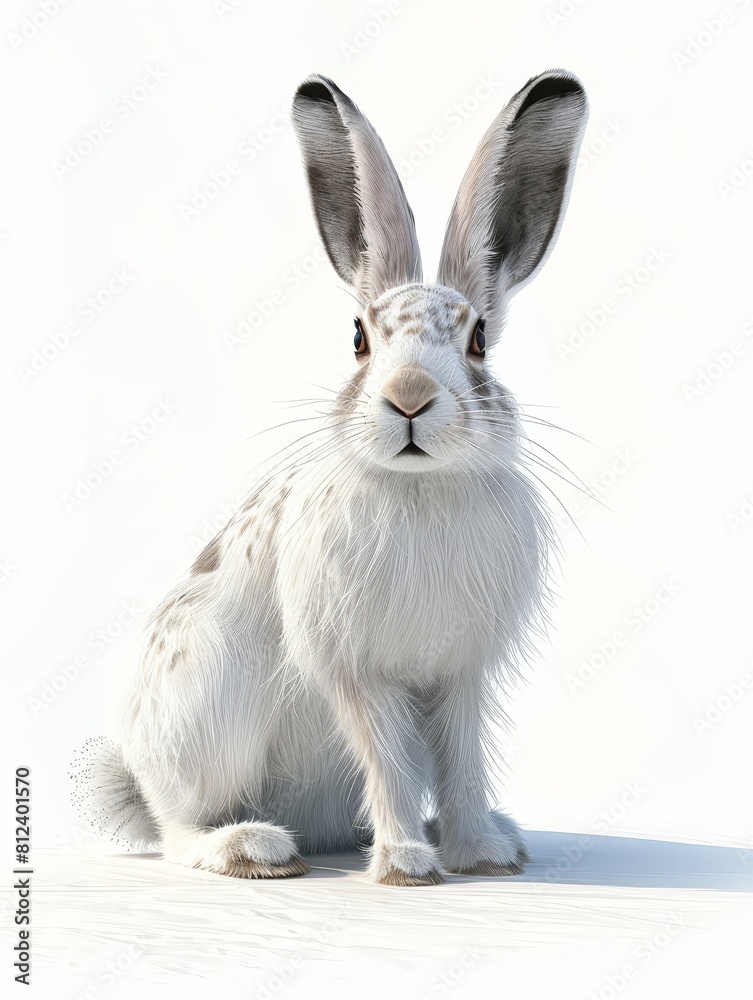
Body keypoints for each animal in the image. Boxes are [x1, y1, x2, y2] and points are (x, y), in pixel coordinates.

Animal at [71, 69, 588, 886]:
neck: (418, 489)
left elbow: (463, 760)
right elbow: (385, 755)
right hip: (208, 720)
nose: (408, 396)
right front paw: (407, 866)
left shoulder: (460, 674)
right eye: (357, 339)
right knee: (176, 826)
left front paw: (480, 853)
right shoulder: (356, 669)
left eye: (478, 340)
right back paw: (250, 847)